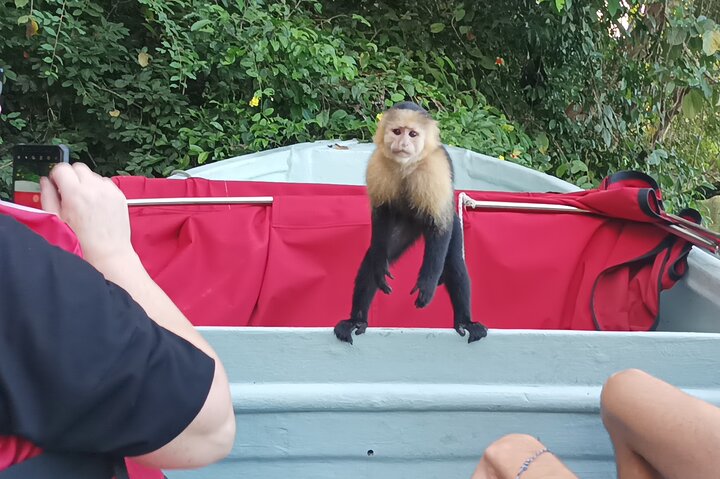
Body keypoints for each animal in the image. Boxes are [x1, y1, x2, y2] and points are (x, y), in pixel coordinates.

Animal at [333, 101, 488, 345]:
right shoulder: (377, 164)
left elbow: (440, 227)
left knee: (453, 258)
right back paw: (356, 320)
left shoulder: (435, 169)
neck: (406, 165)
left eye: (413, 134)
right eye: (397, 131)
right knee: (372, 258)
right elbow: (381, 215)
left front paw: (427, 283)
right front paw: (380, 267)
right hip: (405, 227)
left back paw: (465, 321)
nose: (403, 143)